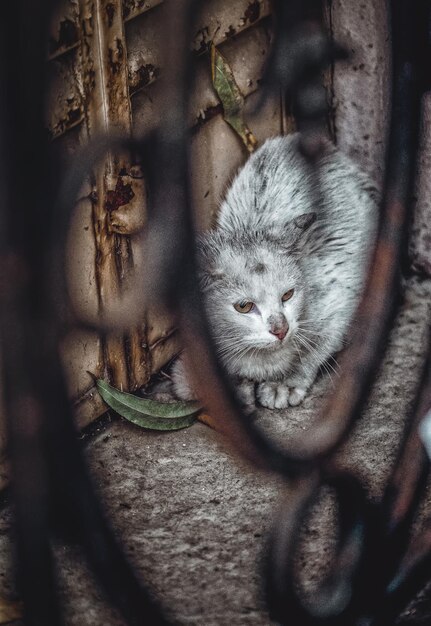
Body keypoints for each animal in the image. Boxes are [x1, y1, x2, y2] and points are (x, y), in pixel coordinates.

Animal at [170, 133, 376, 410]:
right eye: (244, 306)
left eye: (288, 295)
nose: (281, 329)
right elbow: (189, 381)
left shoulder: (339, 293)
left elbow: (316, 348)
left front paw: (284, 383)